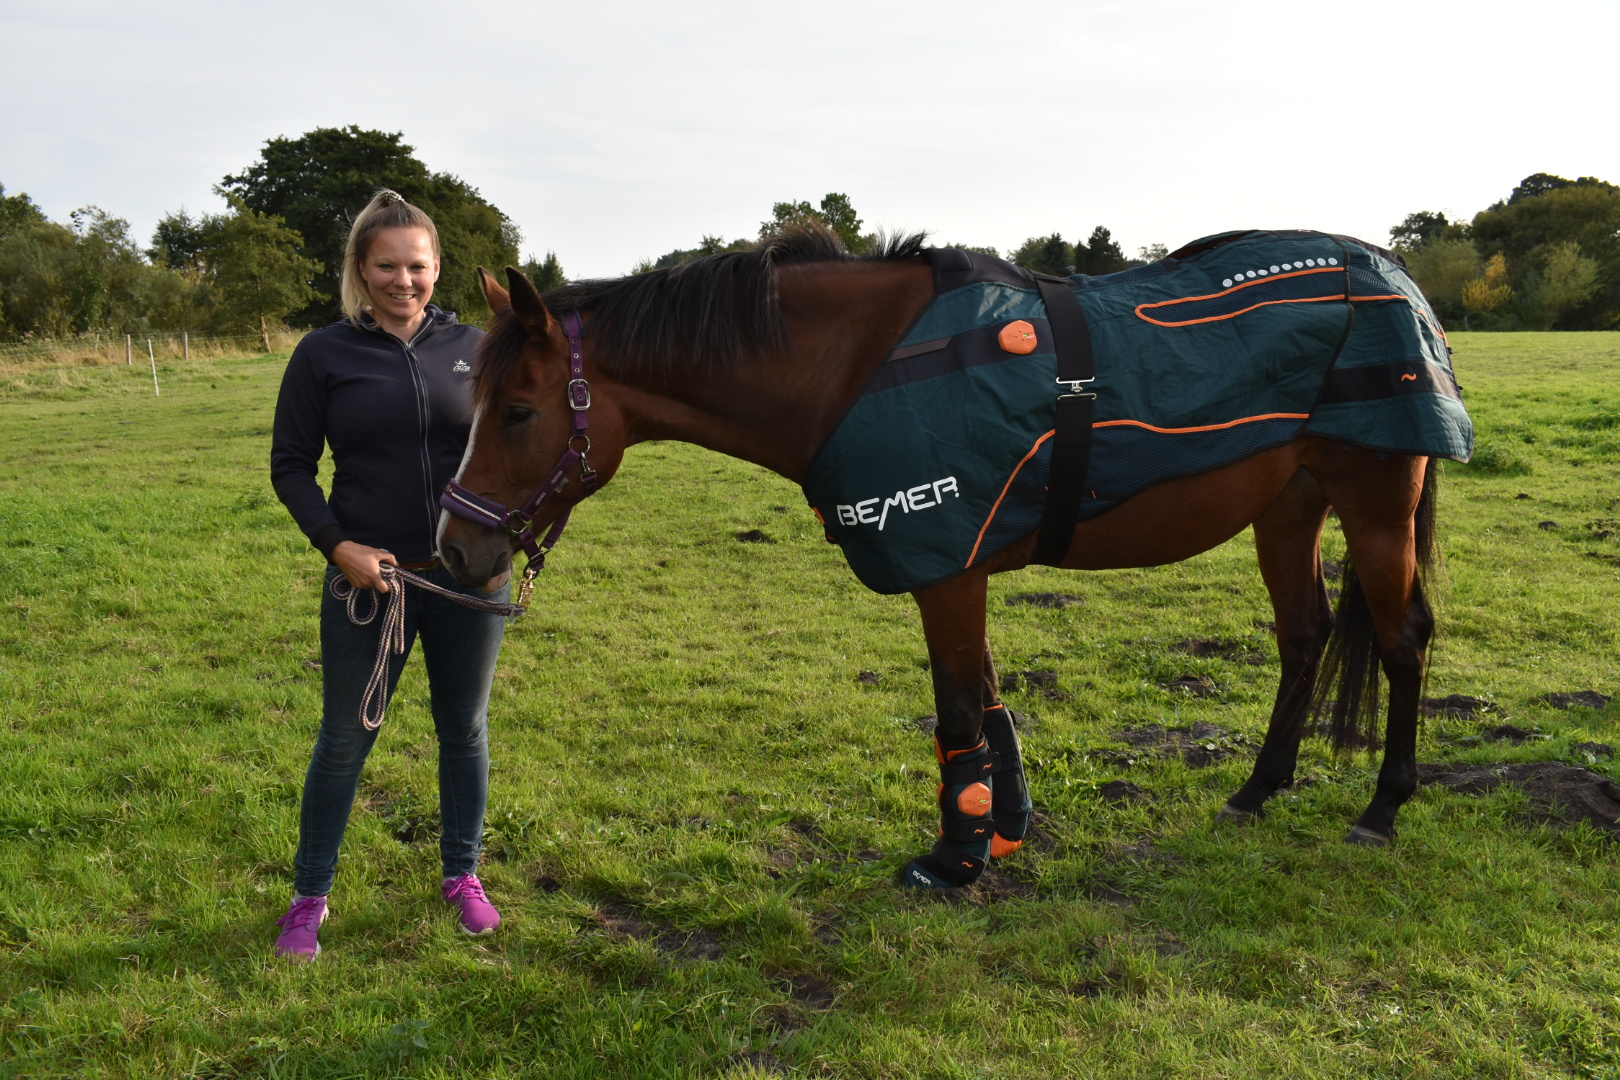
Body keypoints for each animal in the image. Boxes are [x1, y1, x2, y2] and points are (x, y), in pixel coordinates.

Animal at [437, 223, 1464, 893]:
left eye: (518, 410)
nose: (454, 545)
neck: (855, 366)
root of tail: (1391, 272)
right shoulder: (960, 560)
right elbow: (991, 708)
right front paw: (1001, 831)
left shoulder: (948, 566)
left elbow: (961, 709)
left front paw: (956, 859)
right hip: (1289, 509)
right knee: (1305, 638)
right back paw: (1257, 790)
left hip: (1376, 500)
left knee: (1404, 640)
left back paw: (1383, 807)